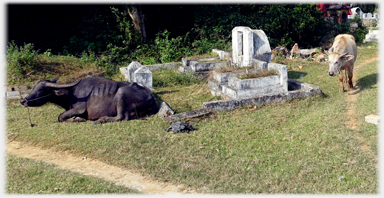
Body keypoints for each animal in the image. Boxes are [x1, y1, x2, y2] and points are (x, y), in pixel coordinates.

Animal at [19, 77, 158, 124]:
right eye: (33, 87)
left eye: (41, 90)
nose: (23, 101)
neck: (71, 93)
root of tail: (150, 95)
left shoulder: (80, 109)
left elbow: (60, 116)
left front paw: (77, 119)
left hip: (121, 94)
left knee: (122, 117)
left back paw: (102, 119)